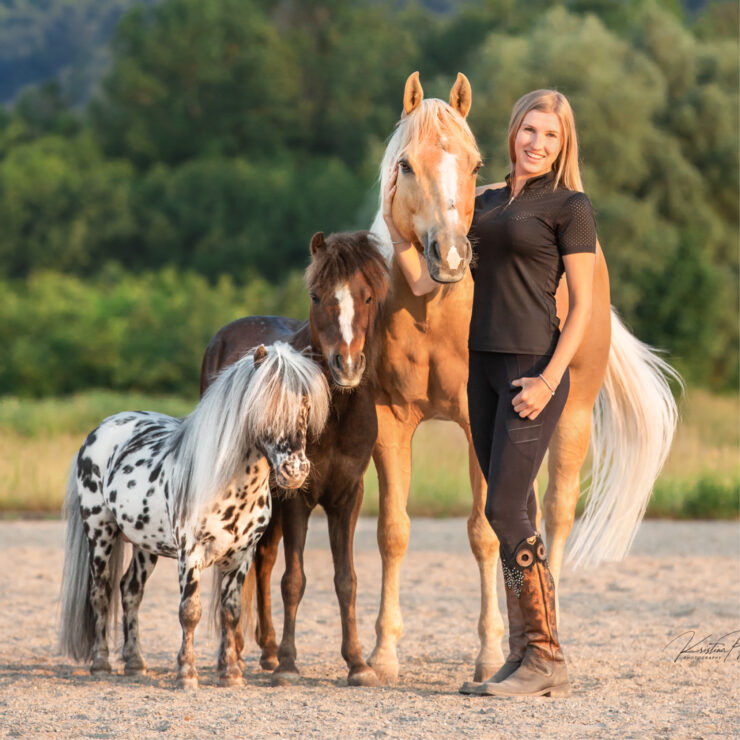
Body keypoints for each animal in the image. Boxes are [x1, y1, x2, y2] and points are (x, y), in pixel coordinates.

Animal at [58, 342, 330, 689]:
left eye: (305, 406)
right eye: (262, 407)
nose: (294, 471)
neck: (231, 487)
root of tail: (102, 429)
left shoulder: (242, 556)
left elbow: (230, 612)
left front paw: (231, 673)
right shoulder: (190, 554)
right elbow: (190, 611)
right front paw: (187, 673)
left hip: (145, 545)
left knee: (130, 591)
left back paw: (135, 663)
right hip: (100, 532)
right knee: (100, 593)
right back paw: (101, 663)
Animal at [199, 230, 389, 687]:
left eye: (368, 296)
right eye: (317, 296)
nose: (347, 365)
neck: (334, 412)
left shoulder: (347, 497)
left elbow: (346, 580)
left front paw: (357, 662)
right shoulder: (298, 498)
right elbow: (295, 580)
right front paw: (287, 662)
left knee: (262, 562)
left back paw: (265, 650)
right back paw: (243, 651)